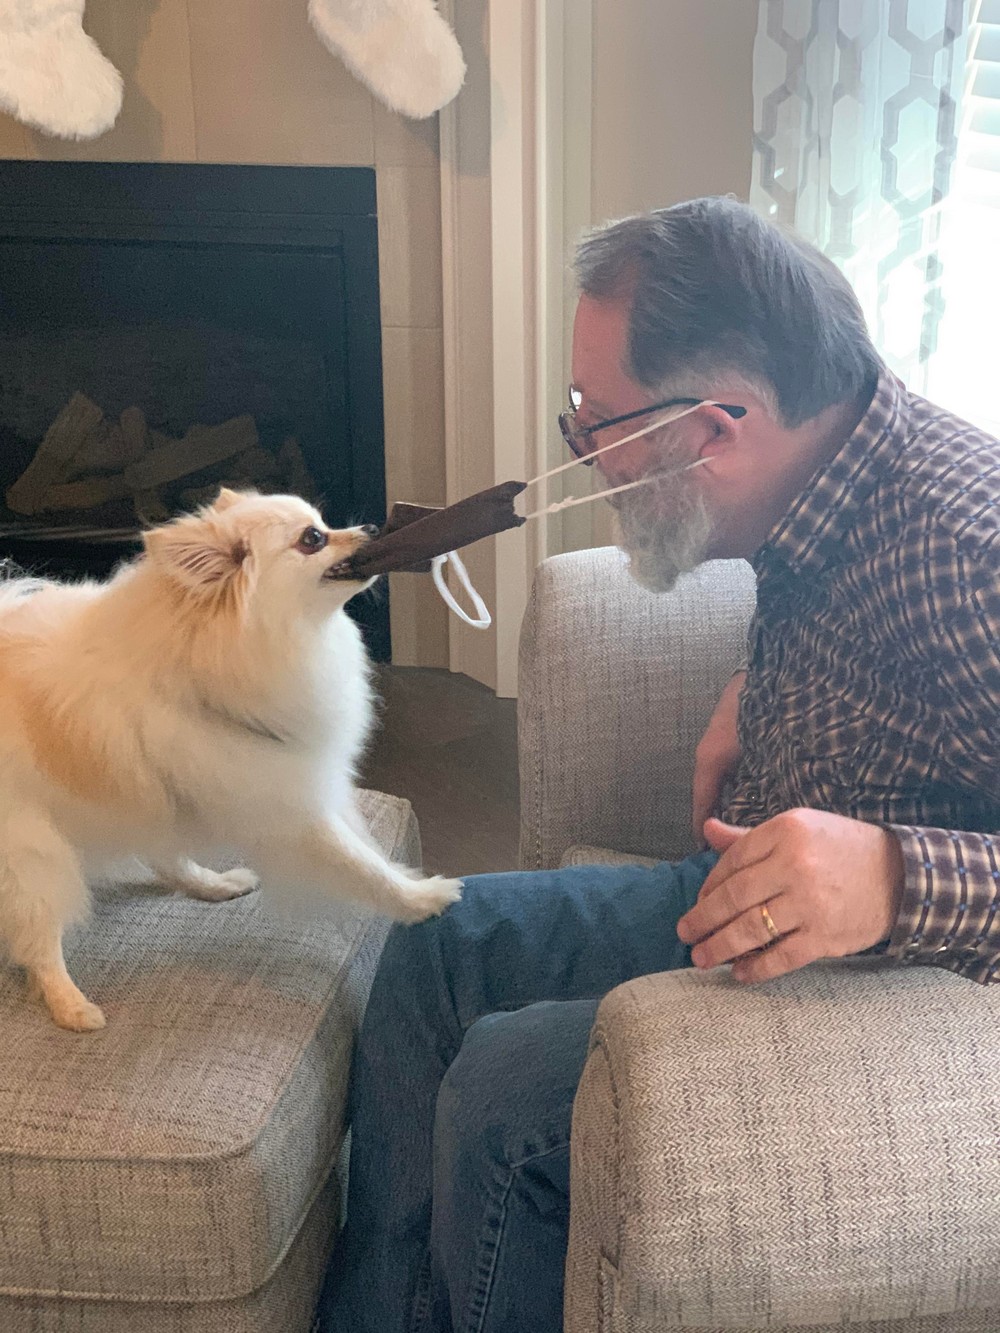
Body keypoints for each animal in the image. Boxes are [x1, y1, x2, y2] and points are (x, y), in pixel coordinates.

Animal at [0, 489, 462, 1031]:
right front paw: (422, 898)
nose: (370, 526)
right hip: (33, 851)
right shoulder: (285, 809)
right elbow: (359, 863)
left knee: (164, 855)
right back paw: (71, 1006)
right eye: (313, 538)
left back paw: (216, 885)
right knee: (39, 937)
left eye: (323, 521)